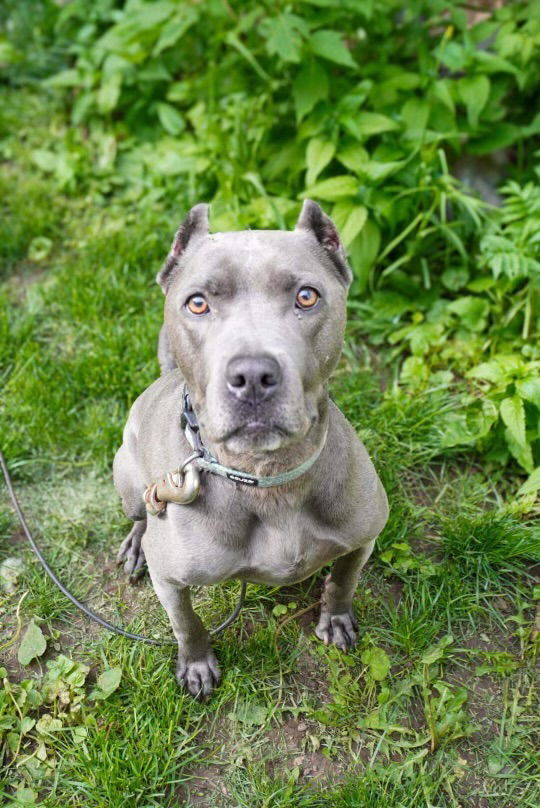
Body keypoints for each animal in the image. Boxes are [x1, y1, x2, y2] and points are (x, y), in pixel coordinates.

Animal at [113, 199, 388, 696]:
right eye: (197, 302)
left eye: (306, 296)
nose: (254, 375)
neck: (267, 474)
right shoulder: (171, 579)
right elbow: (187, 623)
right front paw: (196, 663)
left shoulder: (364, 537)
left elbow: (343, 580)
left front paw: (337, 618)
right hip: (126, 477)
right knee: (141, 512)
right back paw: (136, 544)